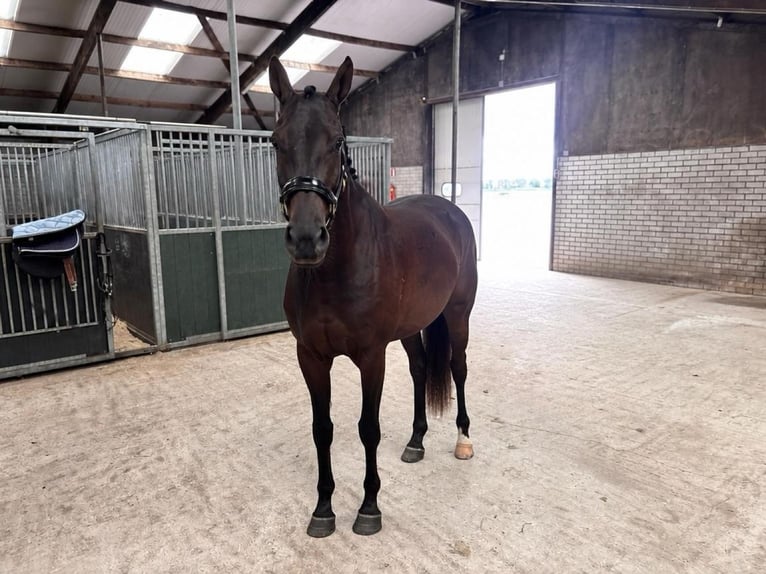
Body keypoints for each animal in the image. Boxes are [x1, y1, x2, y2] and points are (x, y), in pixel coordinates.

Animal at [269, 56, 478, 538]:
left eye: (337, 141)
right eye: (276, 141)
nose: (306, 239)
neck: (336, 271)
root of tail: (450, 210)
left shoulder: (371, 356)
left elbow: (368, 428)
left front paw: (368, 507)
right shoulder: (311, 357)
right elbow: (322, 429)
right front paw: (323, 509)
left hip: (458, 316)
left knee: (457, 368)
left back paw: (463, 439)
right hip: (413, 326)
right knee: (420, 369)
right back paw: (417, 440)